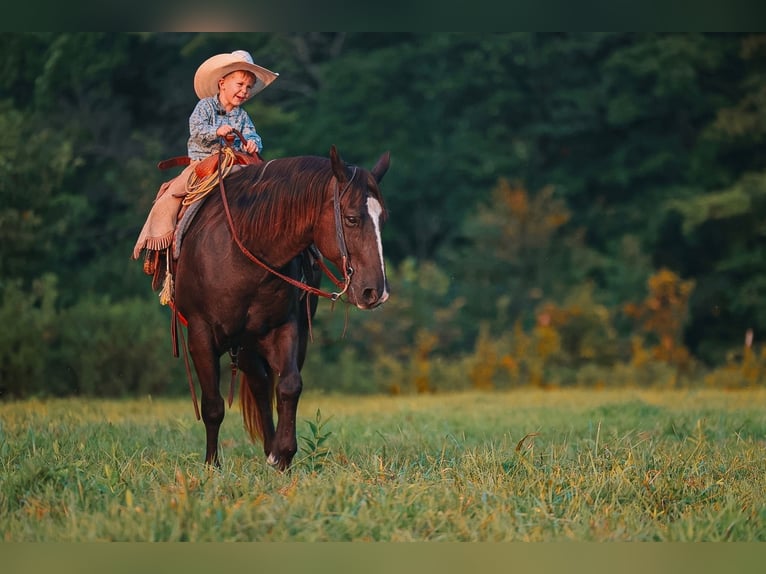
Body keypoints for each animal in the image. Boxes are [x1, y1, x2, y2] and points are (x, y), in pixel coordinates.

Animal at [171, 145, 390, 470]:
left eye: (382, 219)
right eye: (351, 219)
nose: (376, 291)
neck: (243, 250)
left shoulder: (285, 327)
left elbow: (289, 385)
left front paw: (283, 454)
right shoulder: (200, 335)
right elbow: (212, 405)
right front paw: (212, 465)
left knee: (262, 386)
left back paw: (270, 448)